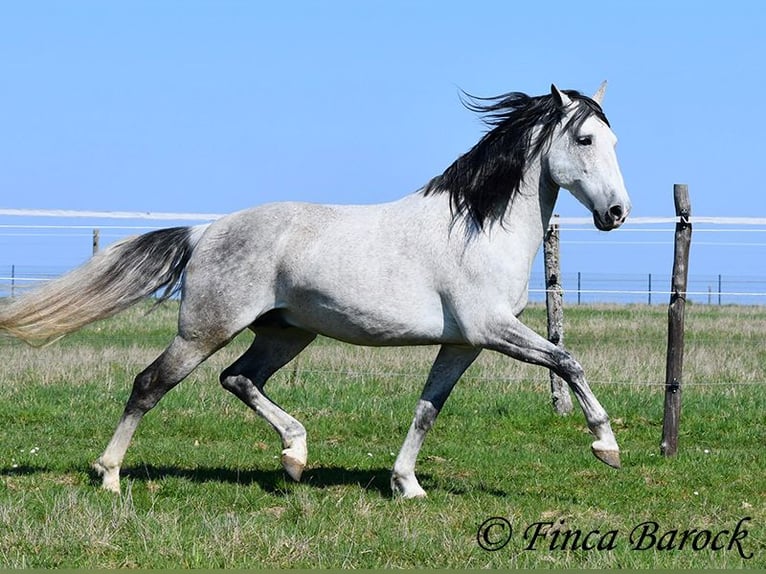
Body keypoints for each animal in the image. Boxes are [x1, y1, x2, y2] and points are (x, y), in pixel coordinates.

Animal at [0, 84, 630, 498]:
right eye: (584, 138)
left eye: (614, 140)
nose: (617, 214)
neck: (476, 228)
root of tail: (207, 231)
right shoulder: (493, 329)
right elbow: (568, 361)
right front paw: (606, 446)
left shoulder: (463, 342)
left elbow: (427, 409)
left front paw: (407, 486)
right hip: (205, 328)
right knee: (150, 384)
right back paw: (108, 475)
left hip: (286, 334)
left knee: (239, 378)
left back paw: (295, 457)